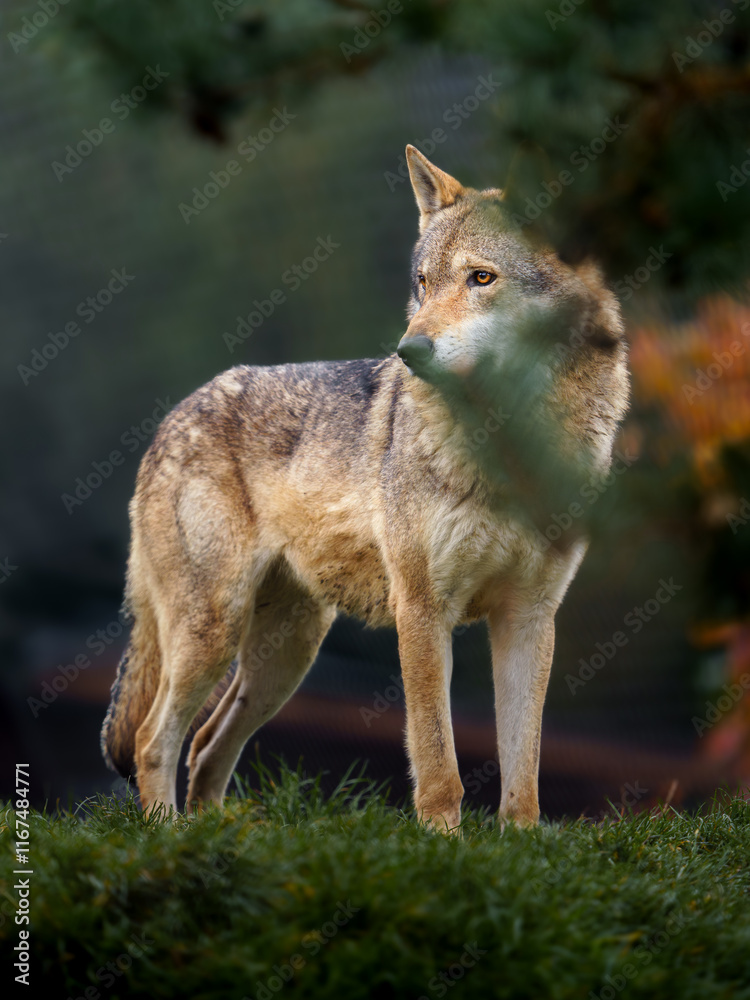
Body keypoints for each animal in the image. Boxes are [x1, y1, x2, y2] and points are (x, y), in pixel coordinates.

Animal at [101, 145, 629, 830]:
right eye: (423, 283)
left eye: (481, 278)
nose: (410, 351)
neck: (510, 445)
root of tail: (172, 417)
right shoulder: (422, 610)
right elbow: (437, 762)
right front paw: (444, 843)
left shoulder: (530, 617)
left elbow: (524, 775)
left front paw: (520, 849)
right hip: (214, 634)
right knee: (153, 740)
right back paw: (168, 835)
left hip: (284, 660)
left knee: (206, 744)